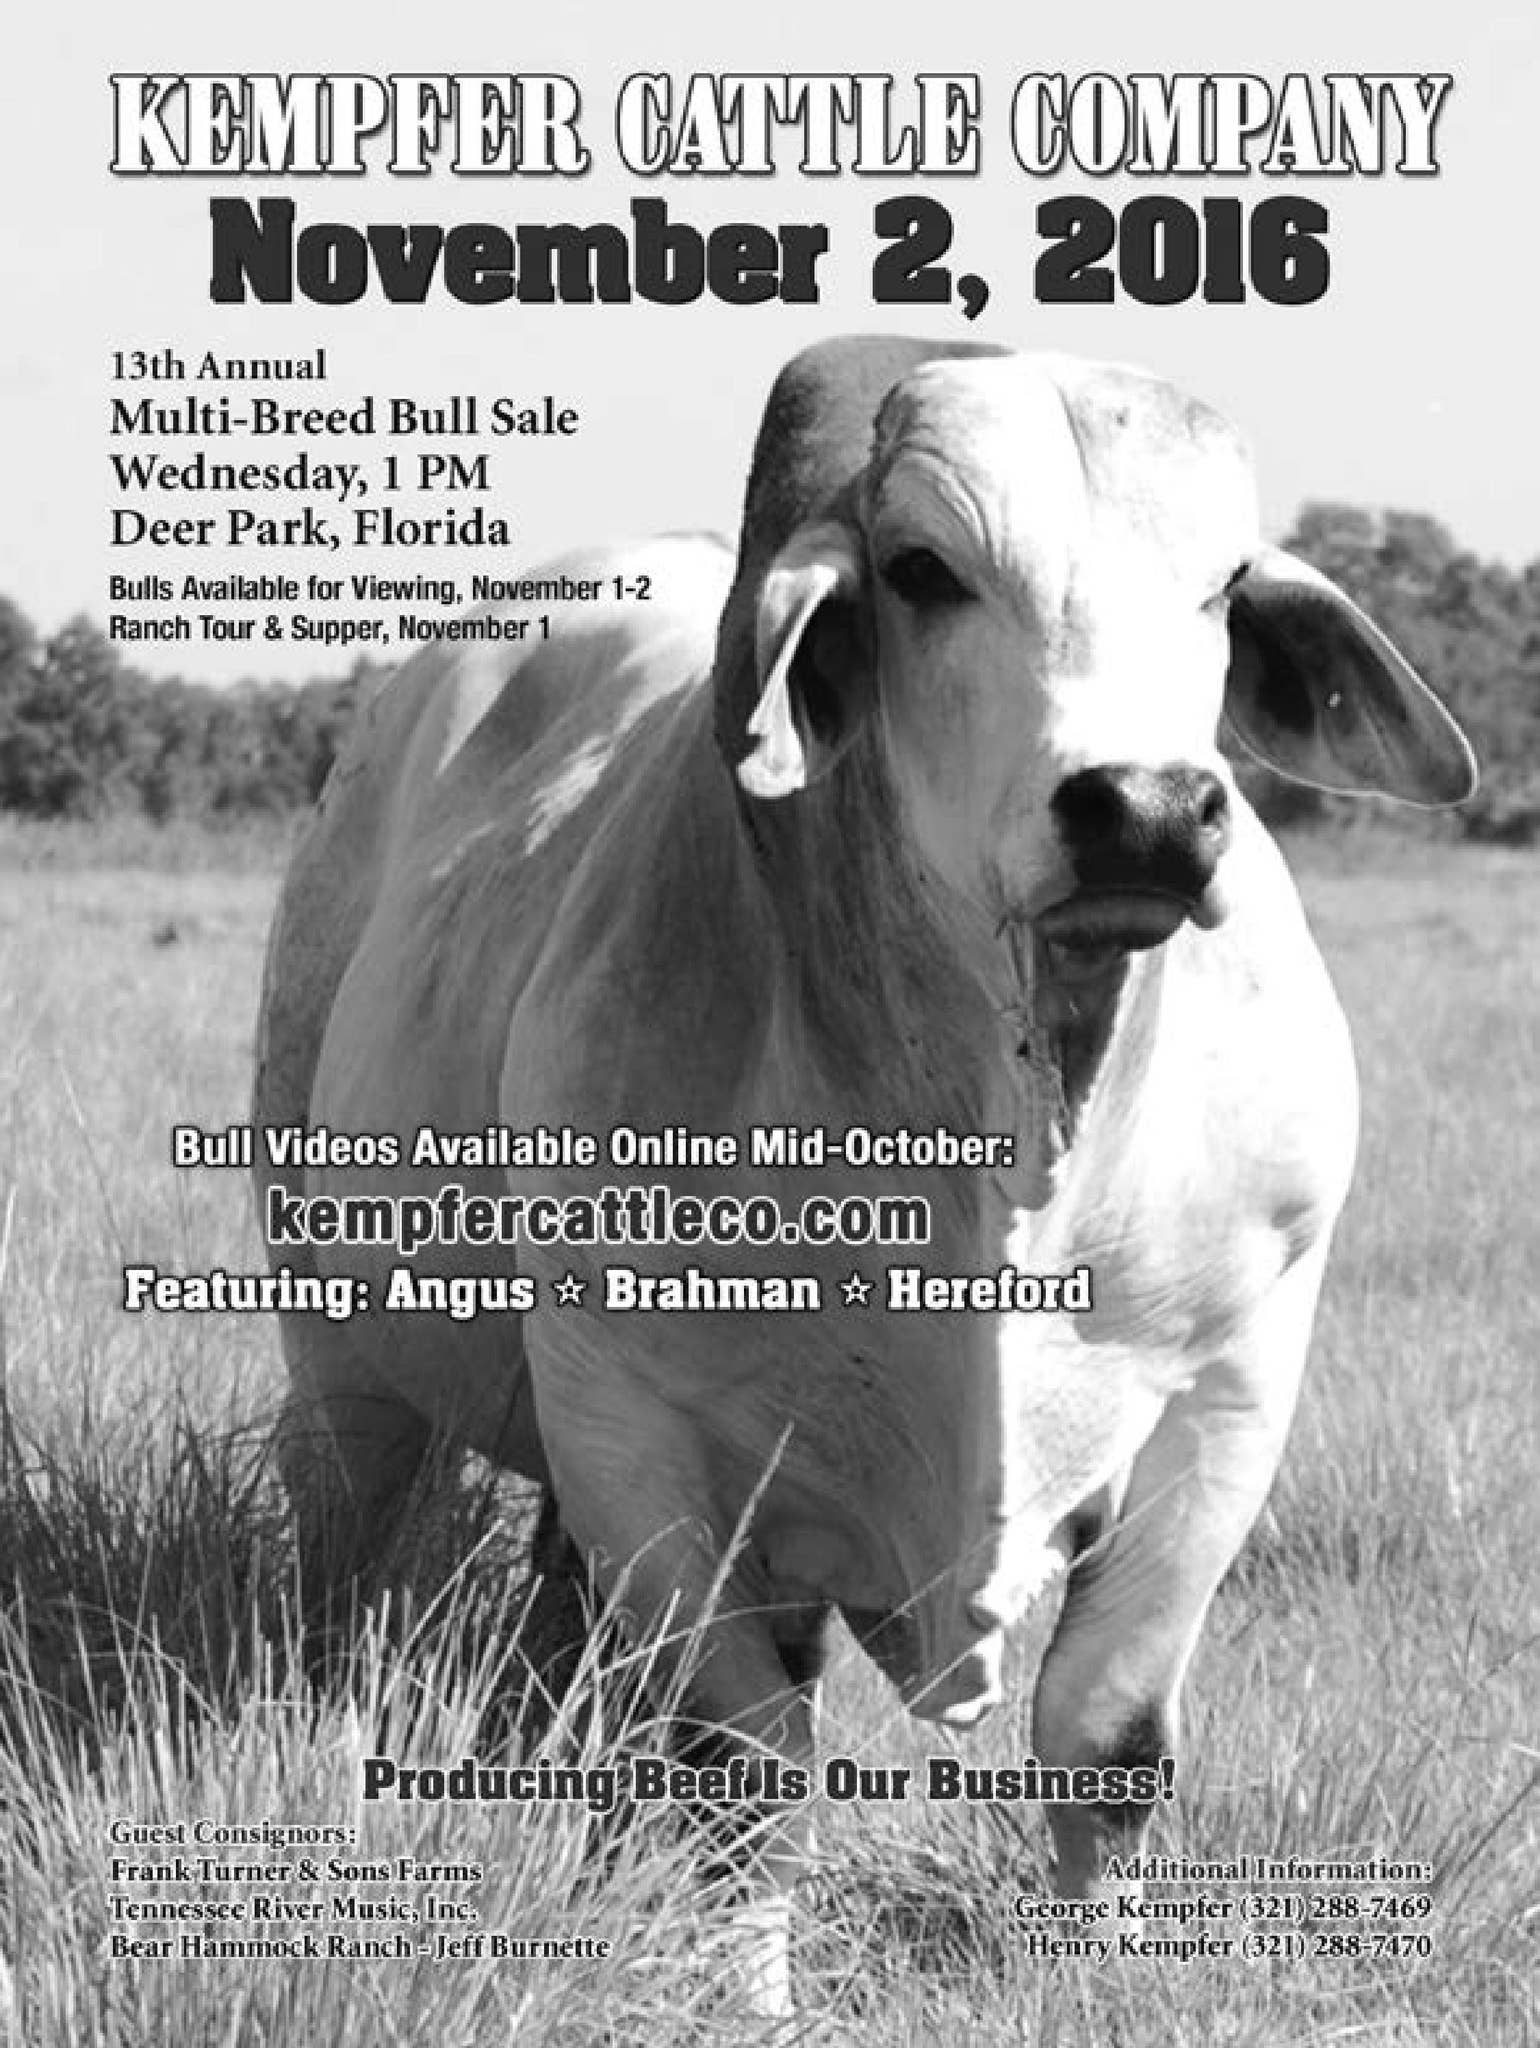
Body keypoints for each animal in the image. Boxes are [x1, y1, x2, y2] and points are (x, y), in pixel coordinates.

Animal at [253, 336, 1474, 2009]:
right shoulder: (635, 1426)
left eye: (1225, 586)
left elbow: (1105, 1740)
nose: (1149, 810)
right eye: (922, 570)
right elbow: (740, 1774)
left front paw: (1099, 1987)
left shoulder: (1233, 1390)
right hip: (337, 1342)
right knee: (346, 1560)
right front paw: (749, 2003)